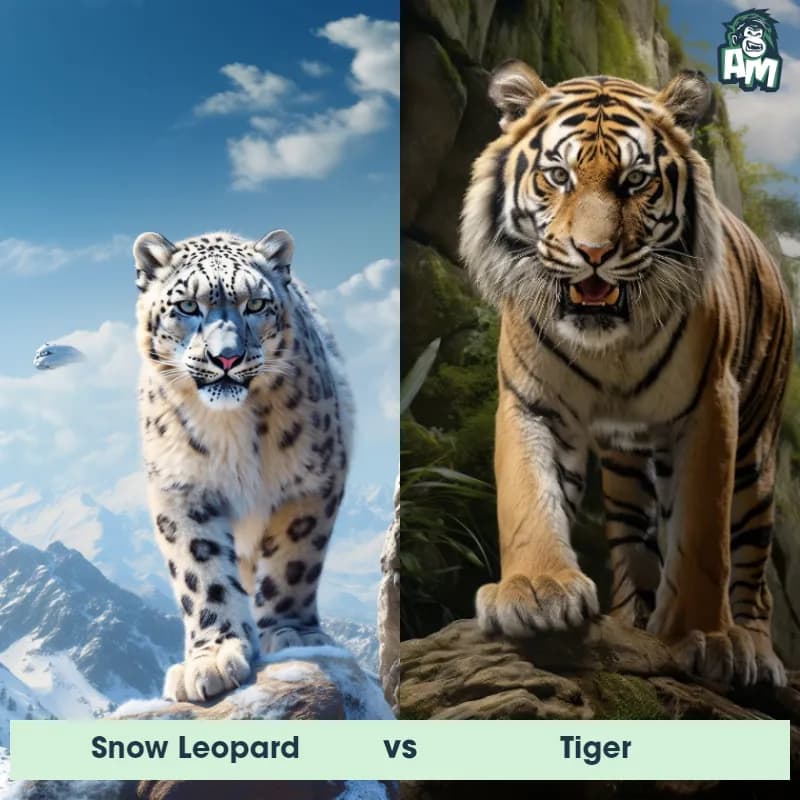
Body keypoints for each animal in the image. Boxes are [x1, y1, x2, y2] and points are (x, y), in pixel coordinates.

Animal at [134, 228, 353, 701]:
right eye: (187, 306)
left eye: (255, 304)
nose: (227, 358)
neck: (228, 426)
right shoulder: (182, 487)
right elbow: (200, 569)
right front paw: (213, 657)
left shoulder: (312, 477)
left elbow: (294, 559)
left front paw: (294, 634)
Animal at [459, 61, 792, 686]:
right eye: (558, 176)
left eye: (636, 181)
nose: (593, 253)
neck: (607, 344)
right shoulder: (533, 401)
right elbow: (527, 496)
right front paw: (535, 591)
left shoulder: (710, 407)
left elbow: (703, 534)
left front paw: (704, 635)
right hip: (626, 469)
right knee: (634, 545)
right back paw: (632, 619)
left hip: (756, 457)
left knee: (753, 566)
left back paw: (756, 649)